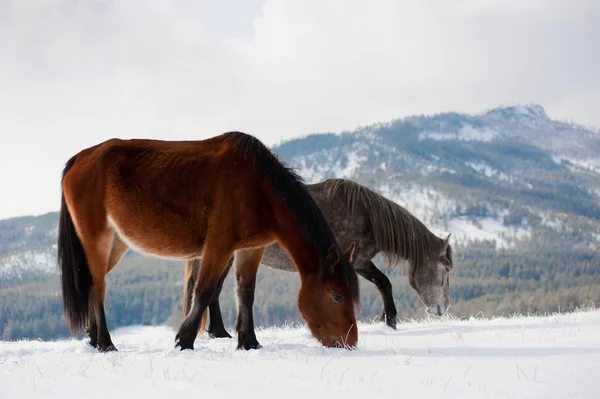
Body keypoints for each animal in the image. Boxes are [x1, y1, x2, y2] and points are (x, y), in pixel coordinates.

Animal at [57, 132, 356, 354]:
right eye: (337, 296)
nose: (350, 342)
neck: (258, 188)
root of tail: (79, 158)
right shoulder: (218, 246)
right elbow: (203, 291)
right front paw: (185, 339)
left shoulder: (250, 250)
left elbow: (246, 293)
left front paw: (249, 342)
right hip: (97, 238)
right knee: (98, 286)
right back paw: (105, 343)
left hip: (116, 243)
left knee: (91, 284)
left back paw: (93, 337)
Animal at [184, 178, 454, 344]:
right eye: (446, 269)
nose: (442, 308)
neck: (366, 215)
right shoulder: (356, 262)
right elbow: (384, 283)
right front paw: (390, 321)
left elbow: (382, 283)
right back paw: (218, 332)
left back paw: (217, 333)